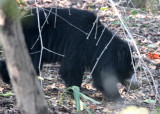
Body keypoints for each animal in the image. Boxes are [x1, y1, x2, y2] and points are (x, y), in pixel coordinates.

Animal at [0, 7, 138, 100]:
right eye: (130, 70)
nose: (136, 85)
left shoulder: (95, 56)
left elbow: (99, 75)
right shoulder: (78, 44)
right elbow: (71, 68)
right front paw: (76, 92)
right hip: (33, 40)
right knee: (31, 62)